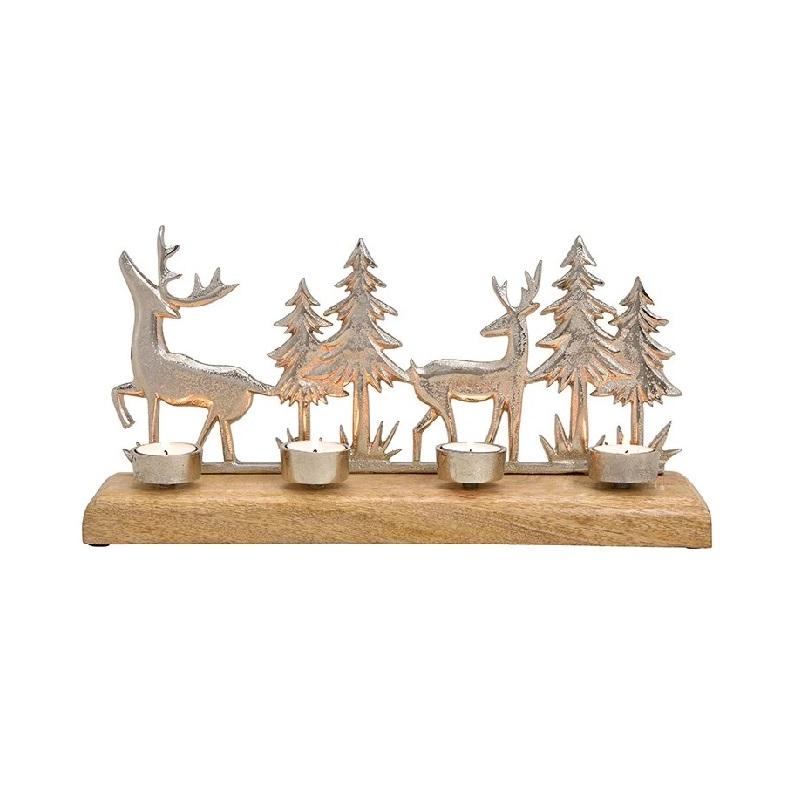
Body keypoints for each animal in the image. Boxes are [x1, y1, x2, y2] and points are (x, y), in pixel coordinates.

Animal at [112, 226, 275, 462]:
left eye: (149, 288)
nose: (124, 257)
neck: (149, 352)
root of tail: (254, 384)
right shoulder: (138, 386)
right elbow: (115, 390)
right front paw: (128, 421)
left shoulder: (152, 392)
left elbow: (153, 431)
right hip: (224, 414)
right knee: (228, 449)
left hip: (220, 408)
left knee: (204, 438)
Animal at [409, 264, 541, 463]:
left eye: (504, 317)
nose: (484, 330)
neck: (512, 366)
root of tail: (417, 370)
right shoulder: (502, 396)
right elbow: (498, 428)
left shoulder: (512, 397)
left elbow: (513, 429)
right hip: (442, 401)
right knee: (451, 435)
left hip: (433, 404)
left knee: (417, 429)